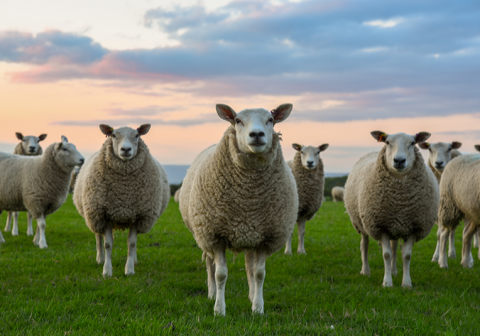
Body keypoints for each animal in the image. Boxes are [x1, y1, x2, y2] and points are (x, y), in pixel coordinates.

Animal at [71, 124, 169, 276]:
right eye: (113, 135)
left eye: (137, 135)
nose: (126, 149)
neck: (124, 191)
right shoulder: (104, 214)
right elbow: (107, 244)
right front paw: (107, 270)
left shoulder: (137, 215)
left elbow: (132, 243)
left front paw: (129, 269)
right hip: (94, 215)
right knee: (98, 236)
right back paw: (100, 258)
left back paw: (134, 260)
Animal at [180, 102, 298, 316]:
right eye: (237, 120)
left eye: (271, 120)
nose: (257, 134)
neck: (248, 200)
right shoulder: (215, 236)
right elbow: (220, 274)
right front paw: (219, 309)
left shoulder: (265, 238)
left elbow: (259, 273)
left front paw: (258, 308)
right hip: (205, 236)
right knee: (210, 264)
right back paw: (211, 293)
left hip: (251, 235)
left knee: (249, 266)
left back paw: (251, 295)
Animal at [344, 130, 438, 288]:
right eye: (387, 142)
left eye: (413, 143)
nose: (399, 160)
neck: (399, 201)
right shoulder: (380, 225)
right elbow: (386, 254)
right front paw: (387, 282)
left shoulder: (414, 226)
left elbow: (406, 255)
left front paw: (406, 283)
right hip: (362, 223)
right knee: (364, 245)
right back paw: (365, 271)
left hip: (395, 226)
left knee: (394, 247)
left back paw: (394, 271)